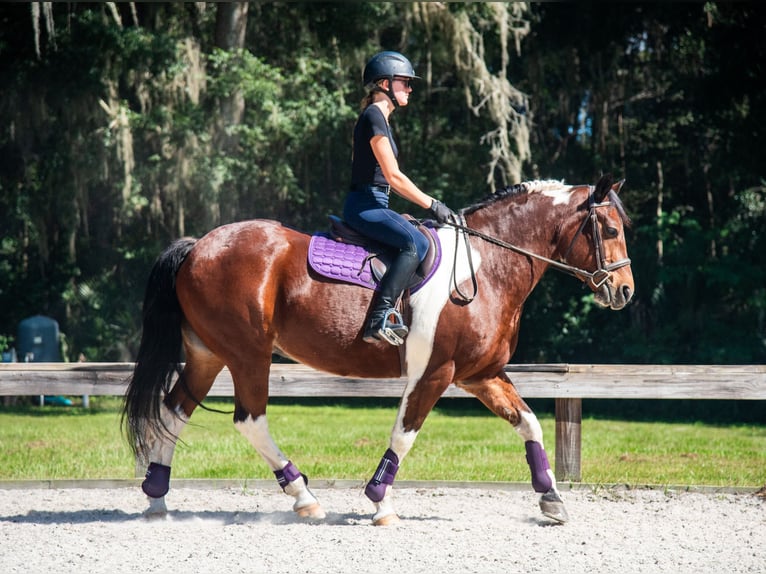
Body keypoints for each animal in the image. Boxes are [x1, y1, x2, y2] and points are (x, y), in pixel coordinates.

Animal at [123, 174, 634, 525]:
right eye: (609, 230)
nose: (625, 291)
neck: (486, 267)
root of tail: (198, 246)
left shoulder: (480, 374)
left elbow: (529, 423)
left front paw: (551, 498)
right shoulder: (435, 372)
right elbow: (404, 435)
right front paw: (379, 503)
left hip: (208, 355)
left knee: (173, 411)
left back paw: (157, 497)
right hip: (248, 355)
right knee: (250, 421)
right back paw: (304, 497)